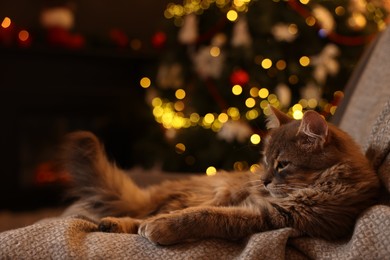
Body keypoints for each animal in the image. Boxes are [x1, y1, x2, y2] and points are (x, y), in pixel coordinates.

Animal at [59, 106, 380, 245]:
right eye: (266, 161)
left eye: (283, 165)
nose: (263, 181)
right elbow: (197, 214)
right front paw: (158, 226)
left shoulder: (271, 216)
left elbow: (204, 217)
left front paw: (163, 228)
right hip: (215, 193)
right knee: (149, 213)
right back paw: (115, 222)